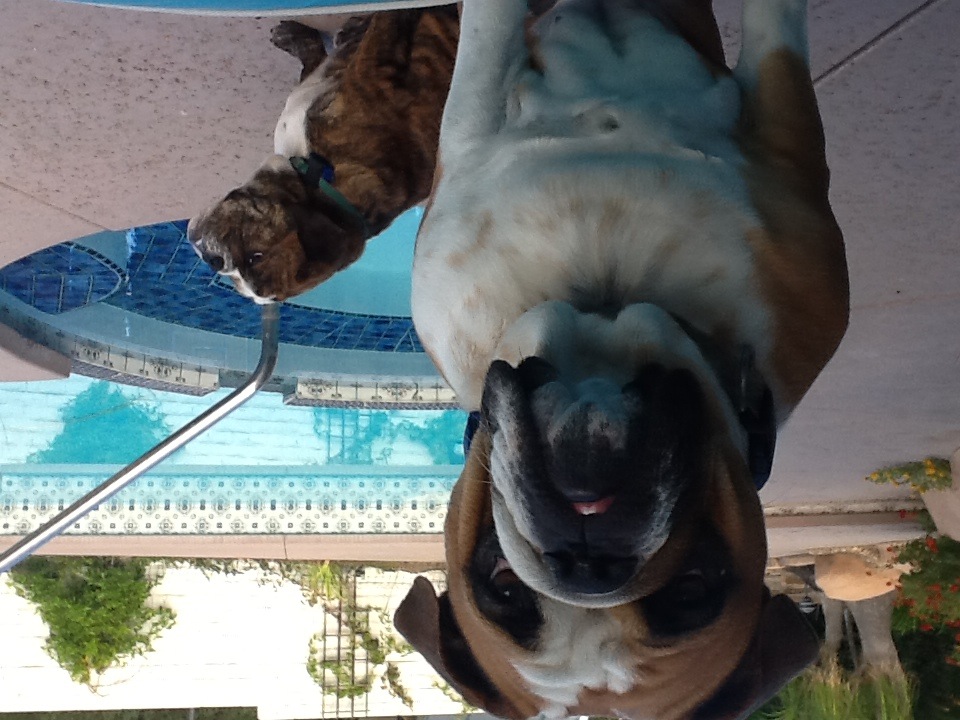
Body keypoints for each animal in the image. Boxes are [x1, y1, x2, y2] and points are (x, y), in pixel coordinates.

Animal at [187, 7, 458, 302]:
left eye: (254, 257)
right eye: (242, 274)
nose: (215, 261)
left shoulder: (374, 70)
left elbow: (381, 30)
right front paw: (301, 37)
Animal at [394, 1, 849, 719]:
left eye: (692, 589)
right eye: (502, 585)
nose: (588, 560)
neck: (605, 300)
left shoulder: (785, 122)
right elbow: (487, 36)